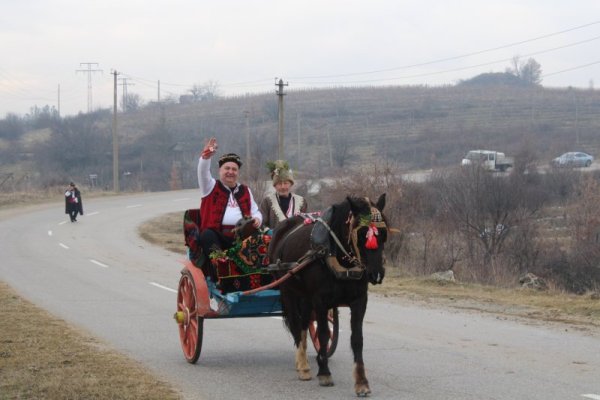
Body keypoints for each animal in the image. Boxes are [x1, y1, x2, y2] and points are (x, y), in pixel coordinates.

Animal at [268, 195, 390, 396]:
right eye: (361, 233)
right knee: (296, 324)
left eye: (384, 234)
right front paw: (324, 372)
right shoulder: (320, 301)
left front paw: (361, 382)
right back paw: (303, 365)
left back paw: (303, 361)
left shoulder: (359, 301)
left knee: (304, 324)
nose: (377, 274)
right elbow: (324, 334)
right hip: (288, 291)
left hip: (305, 297)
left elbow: (357, 339)